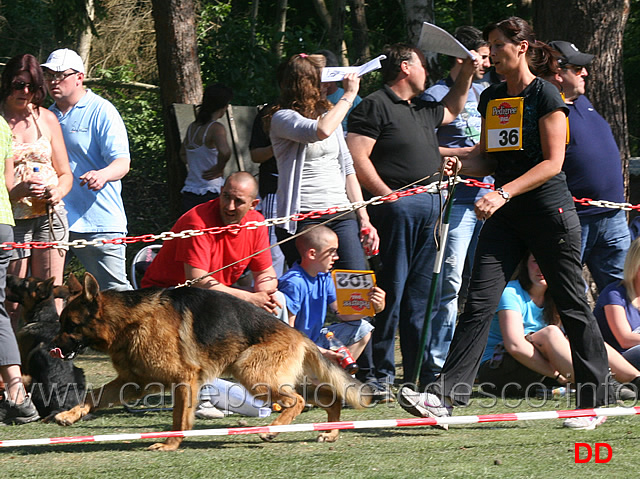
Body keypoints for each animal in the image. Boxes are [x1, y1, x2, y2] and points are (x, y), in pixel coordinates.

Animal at [6, 276, 87, 422]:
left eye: (25, 282)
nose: (8, 277)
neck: (43, 318)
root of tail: (63, 407)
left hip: (29, 379)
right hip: (80, 373)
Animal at [51, 276, 376, 452]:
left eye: (70, 325)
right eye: (61, 323)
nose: (51, 348)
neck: (128, 321)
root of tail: (299, 334)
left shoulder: (184, 380)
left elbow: (179, 420)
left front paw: (170, 444)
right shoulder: (135, 383)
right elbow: (93, 396)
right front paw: (69, 414)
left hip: (253, 375)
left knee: (295, 401)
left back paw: (272, 430)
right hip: (273, 379)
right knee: (329, 396)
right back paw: (331, 431)